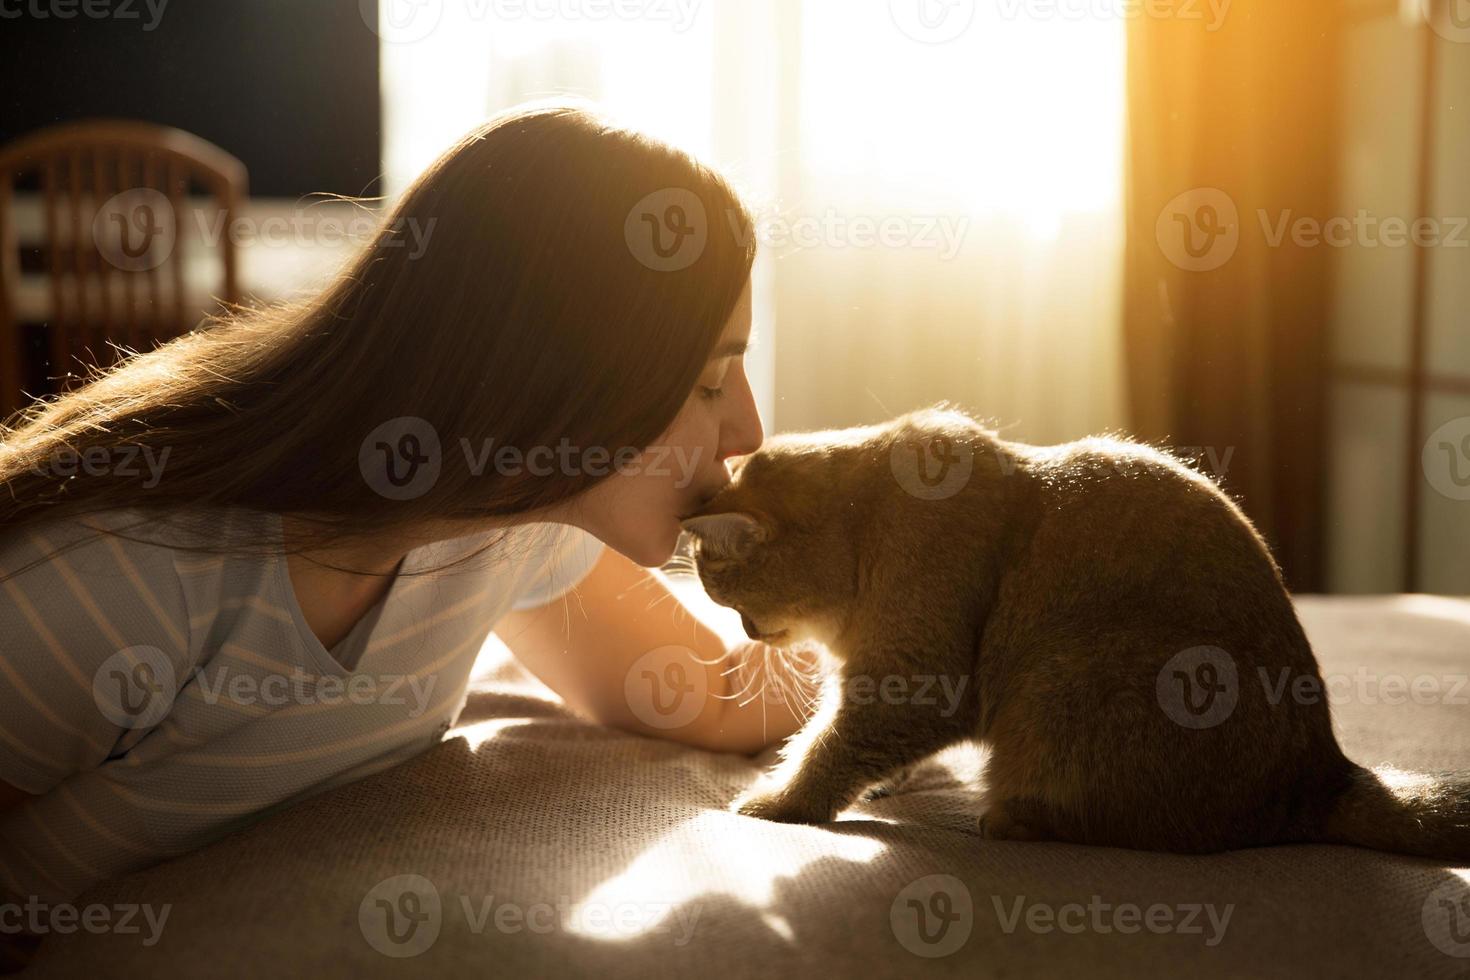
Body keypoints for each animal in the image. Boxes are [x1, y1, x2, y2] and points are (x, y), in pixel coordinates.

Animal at [676, 405, 1470, 858]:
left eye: (726, 591)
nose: (745, 629)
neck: (867, 530)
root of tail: (1325, 773)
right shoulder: (884, 682)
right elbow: (851, 743)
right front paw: (885, 784)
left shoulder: (914, 679)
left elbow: (827, 748)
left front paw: (779, 803)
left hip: (1067, 678)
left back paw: (1012, 819)